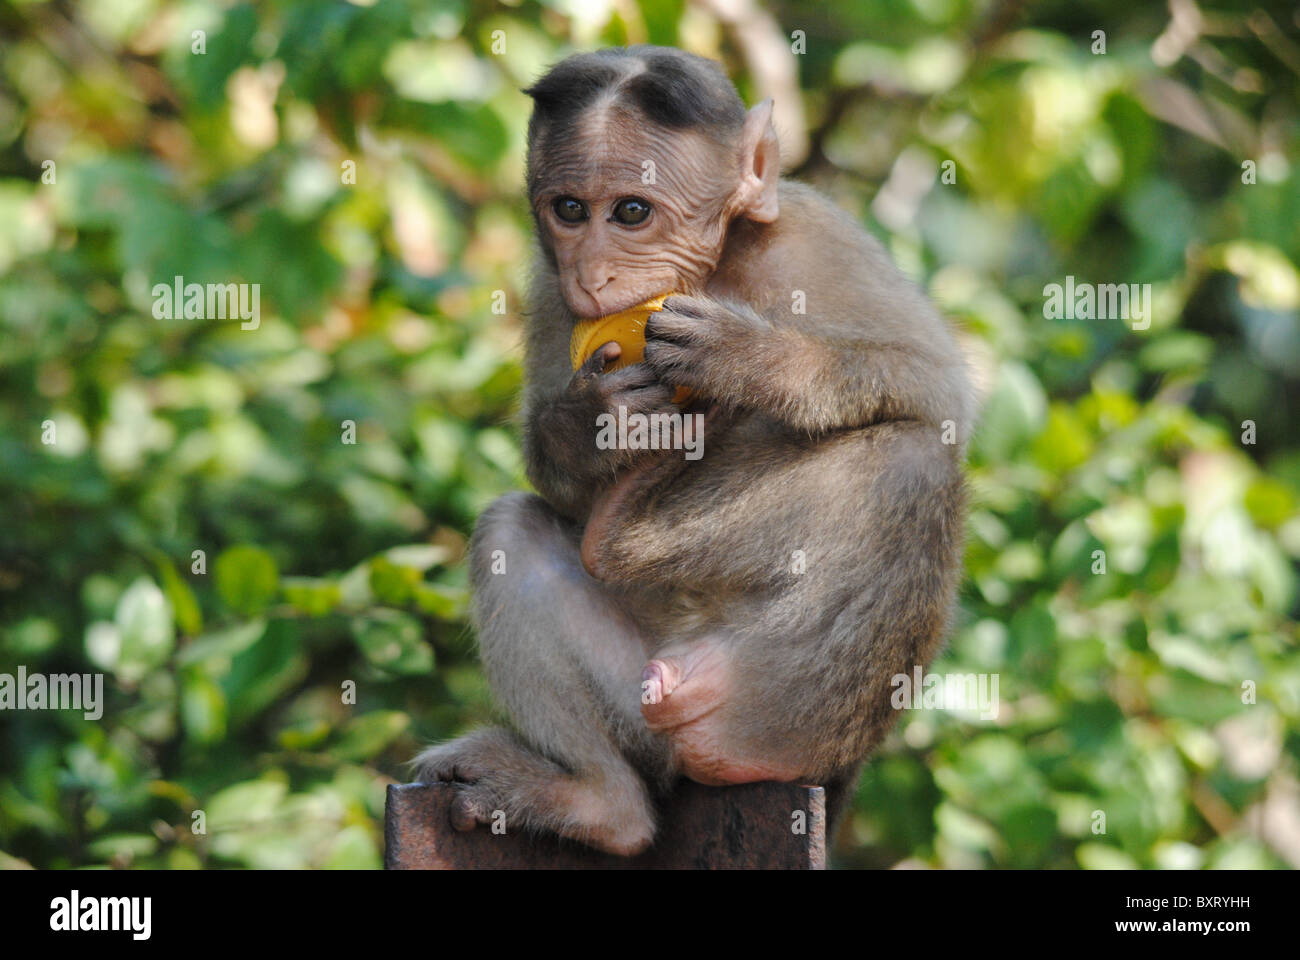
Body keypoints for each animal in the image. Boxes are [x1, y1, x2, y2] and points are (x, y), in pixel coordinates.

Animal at [410, 44, 972, 853]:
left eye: (632, 212)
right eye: (569, 210)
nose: (594, 275)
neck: (717, 268)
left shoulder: (815, 234)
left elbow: (938, 392)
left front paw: (749, 360)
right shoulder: (551, 287)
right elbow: (554, 481)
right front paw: (591, 421)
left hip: (784, 705)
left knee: (914, 461)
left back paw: (628, 539)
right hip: (644, 709)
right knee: (511, 530)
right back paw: (603, 805)